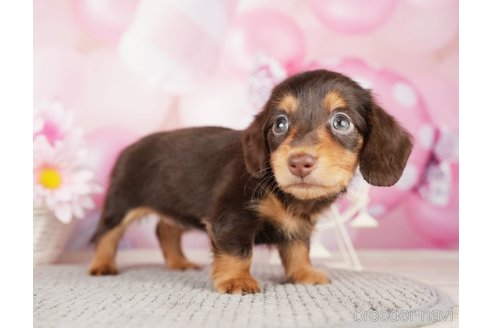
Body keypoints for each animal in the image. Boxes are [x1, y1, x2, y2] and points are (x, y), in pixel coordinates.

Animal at [88, 69, 412, 294]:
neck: (280, 192)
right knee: (107, 234)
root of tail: (129, 147)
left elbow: (298, 250)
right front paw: (237, 281)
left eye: (341, 122)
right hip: (122, 203)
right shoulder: (232, 217)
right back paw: (102, 265)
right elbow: (238, 252)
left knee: (165, 229)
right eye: (280, 124)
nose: (299, 162)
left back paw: (178, 262)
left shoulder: (299, 226)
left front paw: (304, 275)